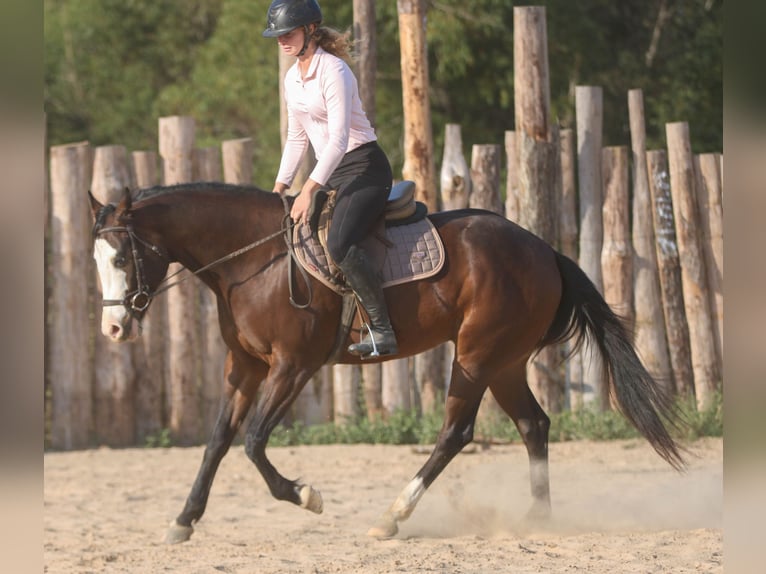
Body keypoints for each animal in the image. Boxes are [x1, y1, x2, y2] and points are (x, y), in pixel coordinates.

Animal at [88, 182, 684, 544]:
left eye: (120, 257)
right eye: (95, 259)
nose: (113, 329)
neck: (253, 259)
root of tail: (543, 250)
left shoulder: (292, 367)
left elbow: (254, 442)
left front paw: (306, 496)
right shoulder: (246, 369)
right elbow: (217, 442)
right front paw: (183, 521)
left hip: (476, 356)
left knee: (456, 432)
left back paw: (393, 516)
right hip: (505, 363)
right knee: (534, 425)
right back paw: (536, 519)